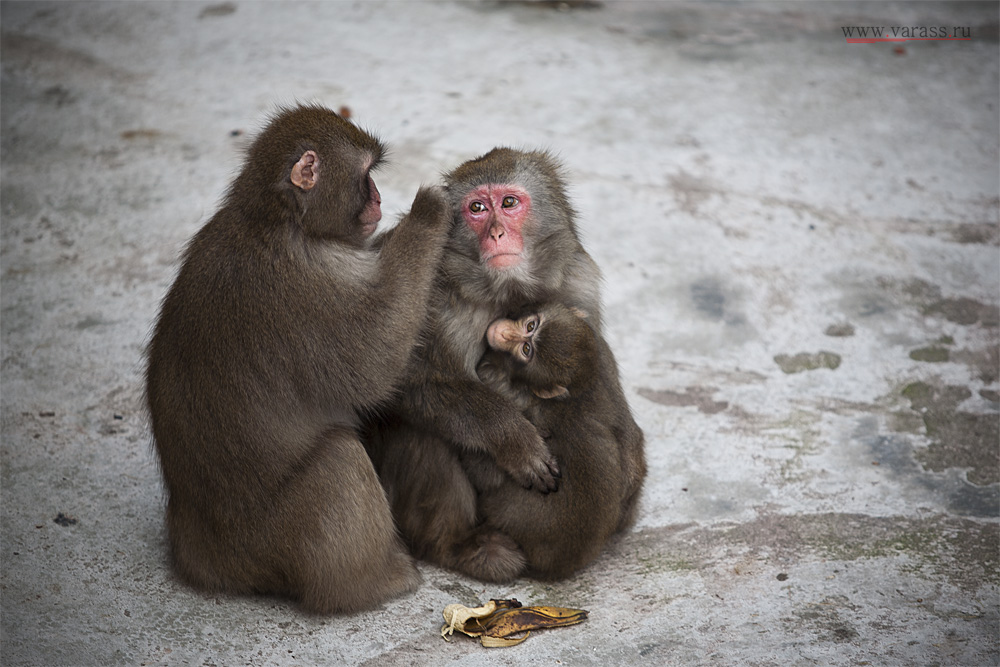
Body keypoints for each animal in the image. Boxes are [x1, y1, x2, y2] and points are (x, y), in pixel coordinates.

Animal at [146, 105, 450, 616]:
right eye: (366, 176)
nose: (380, 200)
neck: (282, 219)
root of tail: (206, 556)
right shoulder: (310, 285)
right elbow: (370, 364)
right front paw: (430, 213)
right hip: (268, 539)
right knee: (339, 457)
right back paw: (367, 585)